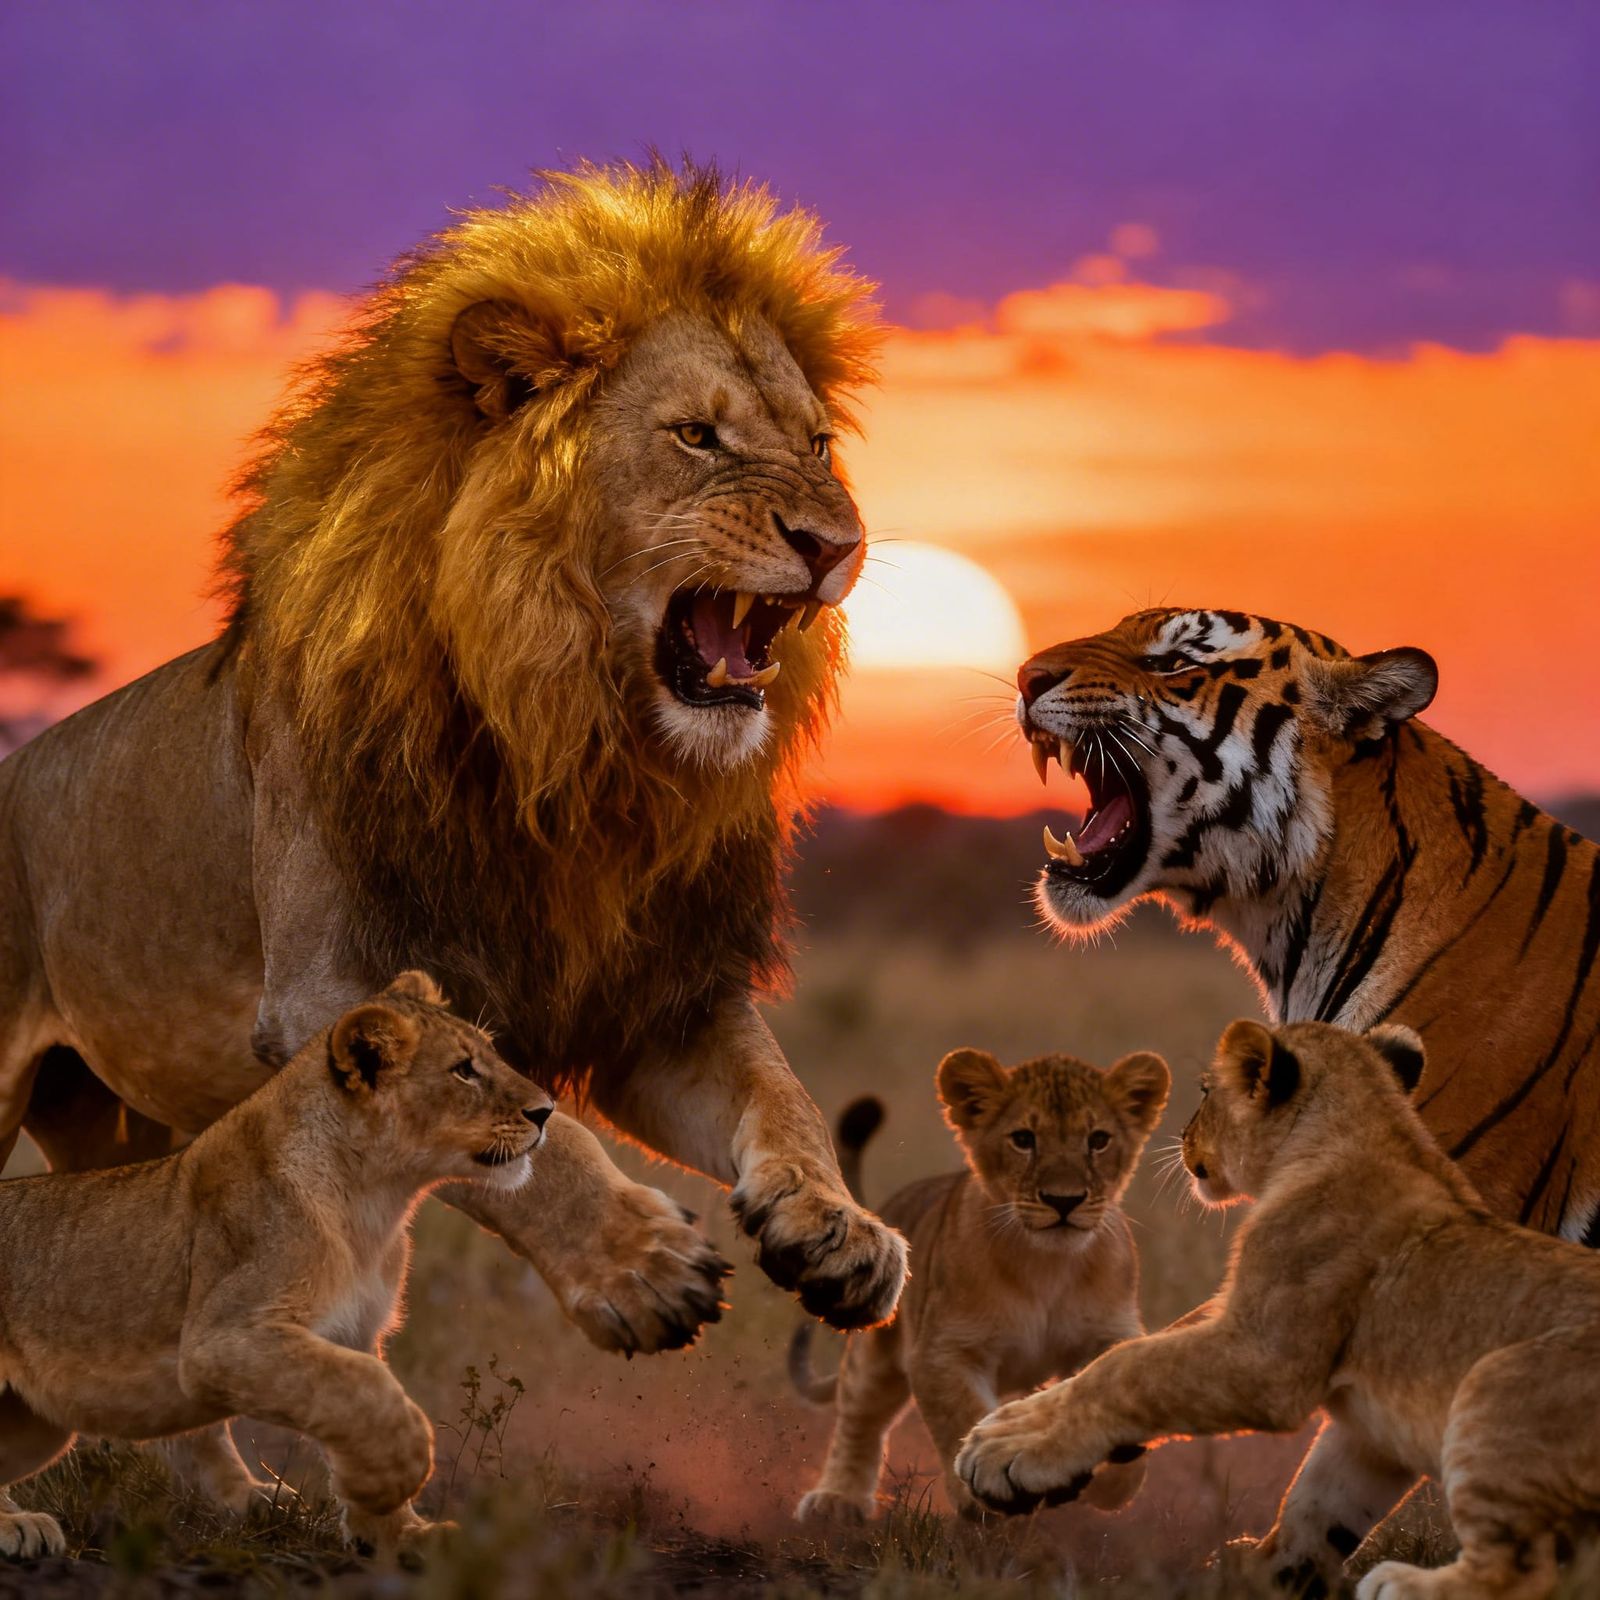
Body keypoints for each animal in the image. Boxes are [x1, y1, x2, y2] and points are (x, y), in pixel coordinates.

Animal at [0, 159, 906, 1398]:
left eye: (816, 444)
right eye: (696, 437)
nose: (836, 543)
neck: (574, 750)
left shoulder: (657, 1003)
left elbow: (786, 1096)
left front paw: (839, 1229)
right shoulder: (329, 990)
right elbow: (541, 1145)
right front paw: (637, 1266)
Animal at [0, 971, 551, 1558]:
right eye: (463, 1069)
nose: (546, 1110)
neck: (372, 1203)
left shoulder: (354, 1332)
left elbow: (356, 1395)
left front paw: (399, 1533)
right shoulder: (219, 1341)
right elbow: (371, 1390)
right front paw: (396, 1474)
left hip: (36, 1427)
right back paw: (19, 1525)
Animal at [789, 1046, 1169, 1521]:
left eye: (1098, 1139)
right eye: (1023, 1138)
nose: (1064, 1201)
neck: (1047, 1264)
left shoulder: (1109, 1330)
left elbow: (1111, 1382)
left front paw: (1112, 1483)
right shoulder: (943, 1351)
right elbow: (961, 1418)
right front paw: (980, 1491)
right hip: (875, 1356)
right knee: (859, 1419)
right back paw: (836, 1500)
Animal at [955, 1020, 1600, 1600]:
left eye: (1205, 1091)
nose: (1181, 1137)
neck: (1365, 1133)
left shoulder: (1267, 1360)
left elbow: (1129, 1365)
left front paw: (1009, 1450)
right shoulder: (1361, 1427)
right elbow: (1319, 1501)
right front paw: (1261, 1573)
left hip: (1498, 1382)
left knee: (1531, 1572)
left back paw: (1401, 1584)